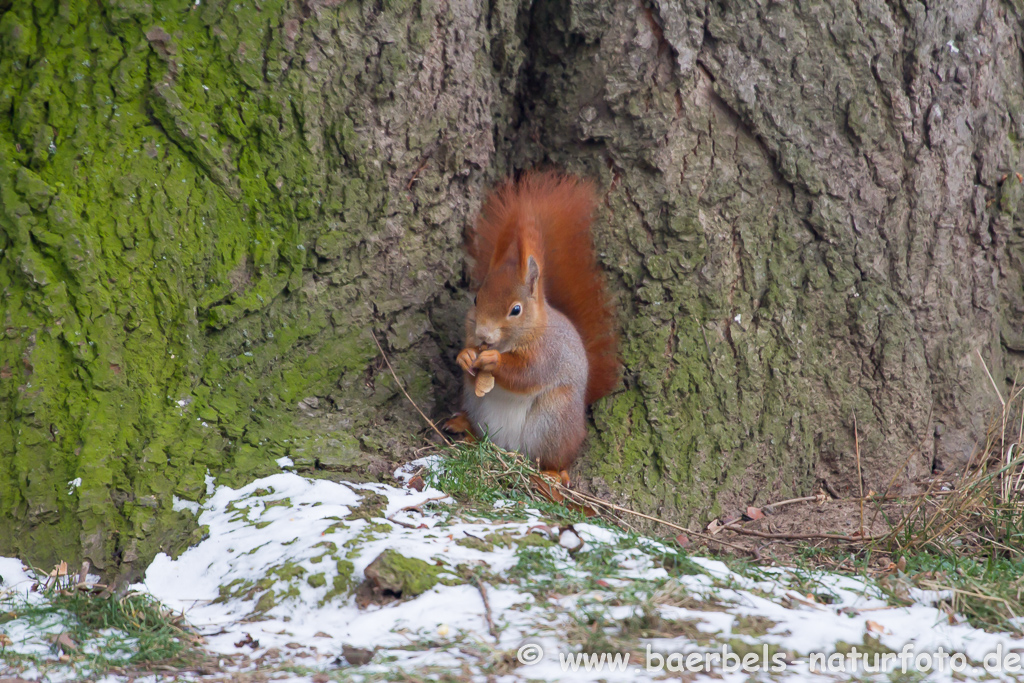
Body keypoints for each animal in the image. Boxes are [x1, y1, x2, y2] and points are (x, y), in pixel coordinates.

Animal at [452, 169, 618, 485]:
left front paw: (494, 361)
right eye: (476, 298)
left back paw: (554, 473)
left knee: (555, 457)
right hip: (476, 405)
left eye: (516, 310)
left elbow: (527, 374)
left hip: (554, 419)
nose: (483, 335)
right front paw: (465, 356)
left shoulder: (548, 353)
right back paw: (463, 428)